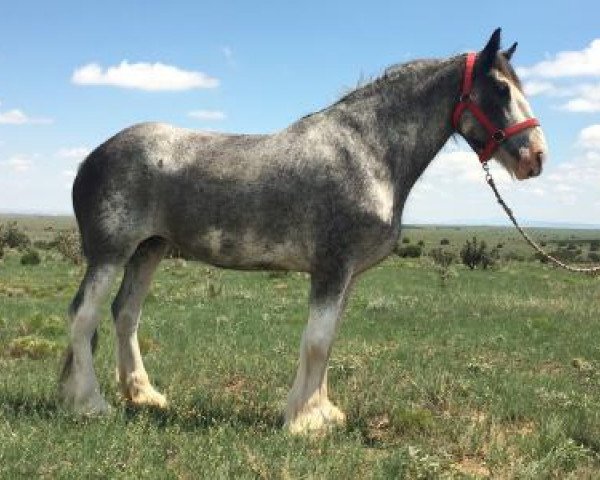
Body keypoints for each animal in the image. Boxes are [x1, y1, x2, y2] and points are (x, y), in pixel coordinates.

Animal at [58, 30, 548, 436]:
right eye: (501, 89)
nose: (536, 158)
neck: (367, 151)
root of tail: (90, 158)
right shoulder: (331, 268)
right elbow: (316, 342)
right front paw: (304, 422)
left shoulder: (347, 275)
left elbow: (327, 345)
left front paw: (320, 412)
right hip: (110, 254)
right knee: (84, 315)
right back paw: (89, 405)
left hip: (149, 251)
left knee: (125, 314)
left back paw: (144, 396)